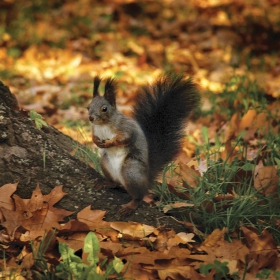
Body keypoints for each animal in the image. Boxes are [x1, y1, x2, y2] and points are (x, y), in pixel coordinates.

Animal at [87, 73, 199, 215]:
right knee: (116, 183)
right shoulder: (95, 130)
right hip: (106, 164)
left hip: (131, 170)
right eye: (88, 107)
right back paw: (107, 183)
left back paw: (131, 206)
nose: (91, 118)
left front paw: (109, 143)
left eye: (104, 109)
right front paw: (97, 142)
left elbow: (124, 138)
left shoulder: (126, 128)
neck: (103, 125)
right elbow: (93, 137)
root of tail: (146, 179)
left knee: (139, 196)